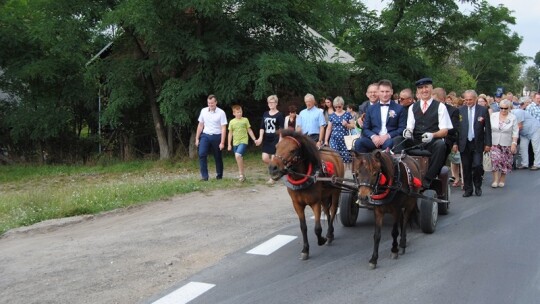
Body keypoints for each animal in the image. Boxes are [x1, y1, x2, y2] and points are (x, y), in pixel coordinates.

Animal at [268, 129, 344, 260]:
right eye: (276, 147)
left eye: (293, 150)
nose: (273, 168)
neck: (302, 178)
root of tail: (334, 152)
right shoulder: (297, 204)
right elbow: (303, 227)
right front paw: (305, 250)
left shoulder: (315, 203)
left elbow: (317, 228)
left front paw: (321, 239)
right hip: (325, 197)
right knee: (327, 212)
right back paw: (331, 233)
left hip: (335, 192)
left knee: (333, 210)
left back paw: (329, 235)